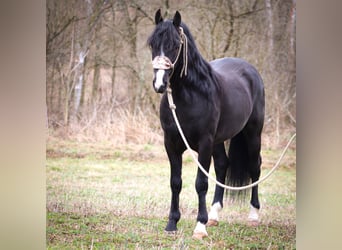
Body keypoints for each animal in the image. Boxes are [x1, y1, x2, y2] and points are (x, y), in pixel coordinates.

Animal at [147, 9, 264, 238]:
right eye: (152, 44)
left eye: (176, 45)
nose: (159, 84)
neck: (191, 95)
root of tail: (250, 70)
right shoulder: (171, 144)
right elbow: (176, 183)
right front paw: (172, 224)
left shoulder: (204, 143)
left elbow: (201, 183)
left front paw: (200, 226)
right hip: (219, 140)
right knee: (222, 165)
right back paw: (215, 215)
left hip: (253, 133)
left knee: (255, 167)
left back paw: (254, 215)